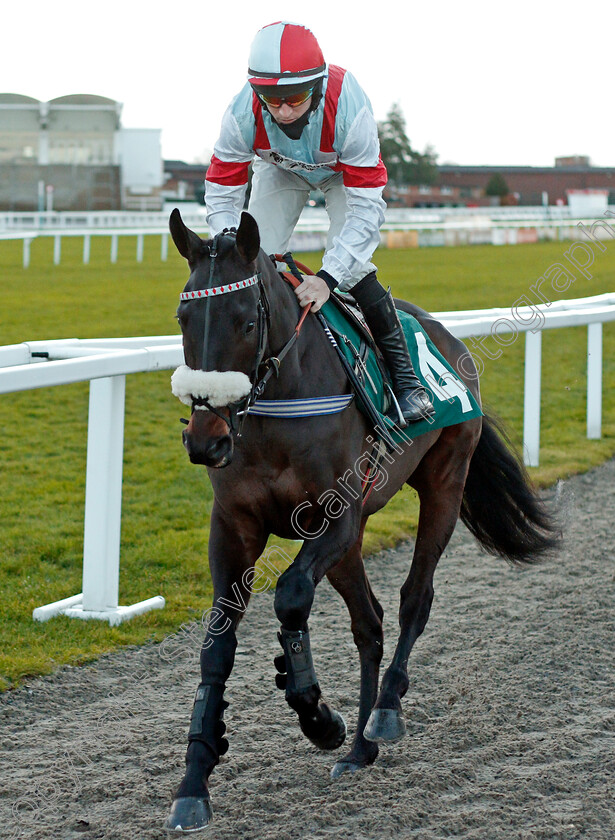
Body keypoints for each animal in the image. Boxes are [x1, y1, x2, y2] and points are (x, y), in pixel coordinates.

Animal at [166, 207, 560, 832]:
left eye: (246, 321)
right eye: (183, 316)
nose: (206, 439)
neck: (281, 403)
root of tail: (448, 338)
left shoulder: (339, 518)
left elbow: (291, 595)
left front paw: (317, 713)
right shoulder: (233, 526)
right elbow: (218, 642)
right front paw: (195, 779)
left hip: (444, 483)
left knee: (413, 599)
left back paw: (383, 714)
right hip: (351, 546)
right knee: (369, 622)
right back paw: (358, 751)